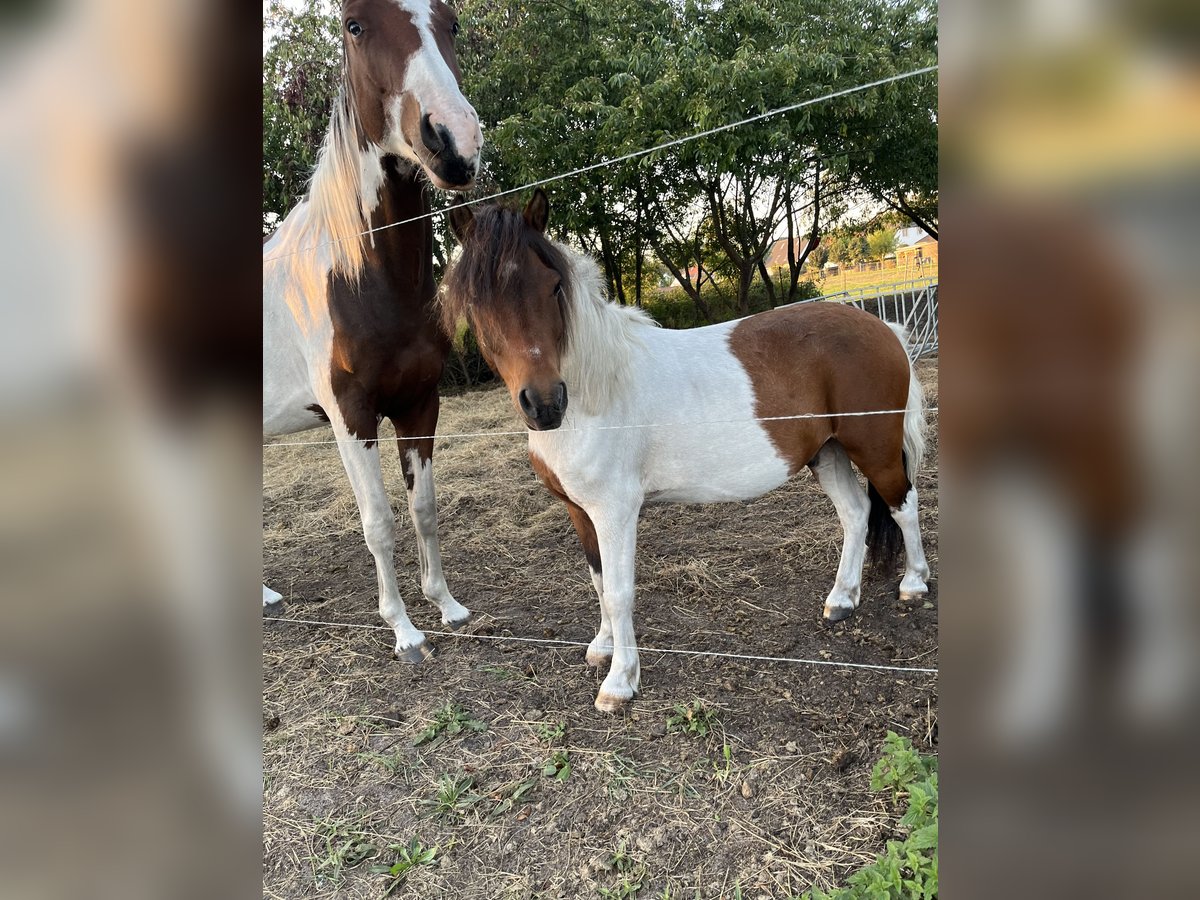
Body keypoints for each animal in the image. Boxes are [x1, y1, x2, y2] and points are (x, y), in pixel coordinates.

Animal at [446, 194, 931, 715]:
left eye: (554, 286)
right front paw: (602, 647)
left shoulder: (615, 511)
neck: (598, 390)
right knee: (857, 513)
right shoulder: (579, 510)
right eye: (475, 302)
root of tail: (883, 327)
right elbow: (598, 581)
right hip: (828, 452)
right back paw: (841, 599)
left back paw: (914, 584)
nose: (544, 404)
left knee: (903, 507)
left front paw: (620, 682)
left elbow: (618, 591)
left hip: (875, 449)